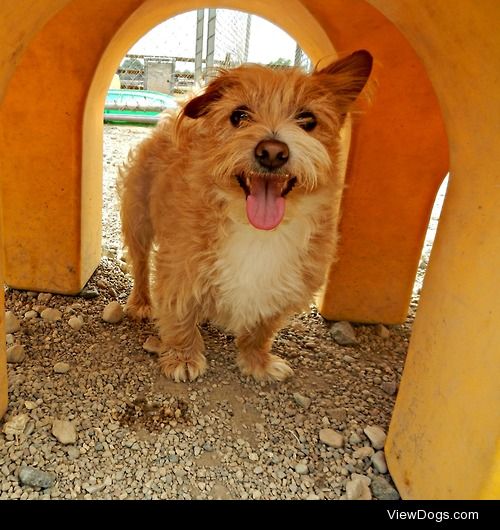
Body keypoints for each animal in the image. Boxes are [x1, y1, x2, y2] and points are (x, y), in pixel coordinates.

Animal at [119, 50, 374, 380]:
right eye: (238, 116)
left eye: (308, 120)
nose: (272, 152)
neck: (256, 229)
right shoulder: (179, 265)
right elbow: (179, 312)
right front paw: (183, 357)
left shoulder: (288, 283)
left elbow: (263, 327)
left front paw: (258, 361)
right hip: (137, 219)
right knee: (139, 265)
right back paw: (140, 303)